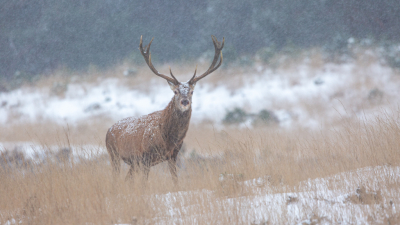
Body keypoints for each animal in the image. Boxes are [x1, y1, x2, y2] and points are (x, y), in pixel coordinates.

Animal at [104, 34, 223, 183]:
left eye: (191, 92)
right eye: (176, 92)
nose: (185, 102)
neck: (168, 139)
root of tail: (108, 131)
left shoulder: (173, 155)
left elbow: (175, 180)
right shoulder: (146, 156)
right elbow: (144, 183)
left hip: (133, 162)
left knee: (127, 179)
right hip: (114, 154)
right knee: (115, 177)